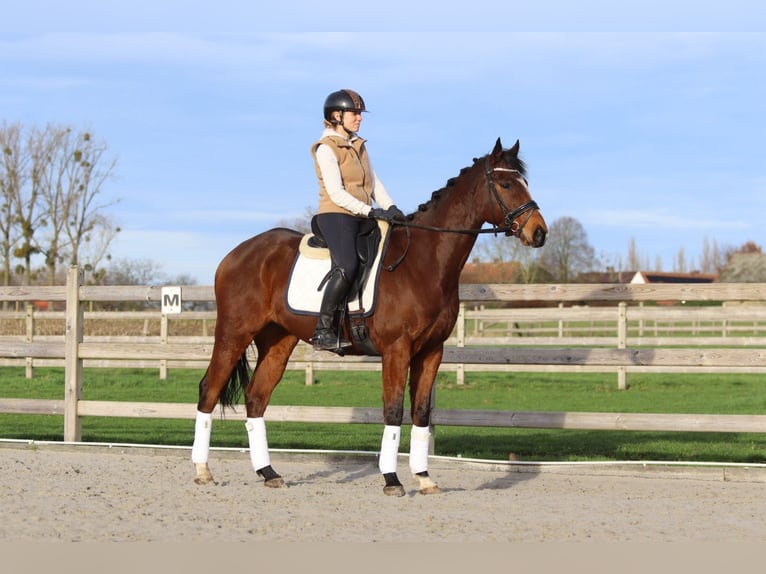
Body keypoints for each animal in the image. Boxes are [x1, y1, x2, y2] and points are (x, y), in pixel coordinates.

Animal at [191, 137, 548, 496]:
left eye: (525, 182)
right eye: (505, 184)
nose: (539, 232)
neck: (424, 262)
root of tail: (236, 254)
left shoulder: (432, 351)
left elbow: (421, 412)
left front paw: (424, 477)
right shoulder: (396, 349)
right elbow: (393, 410)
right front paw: (392, 479)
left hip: (278, 340)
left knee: (256, 398)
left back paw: (268, 473)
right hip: (234, 333)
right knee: (210, 389)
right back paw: (203, 470)